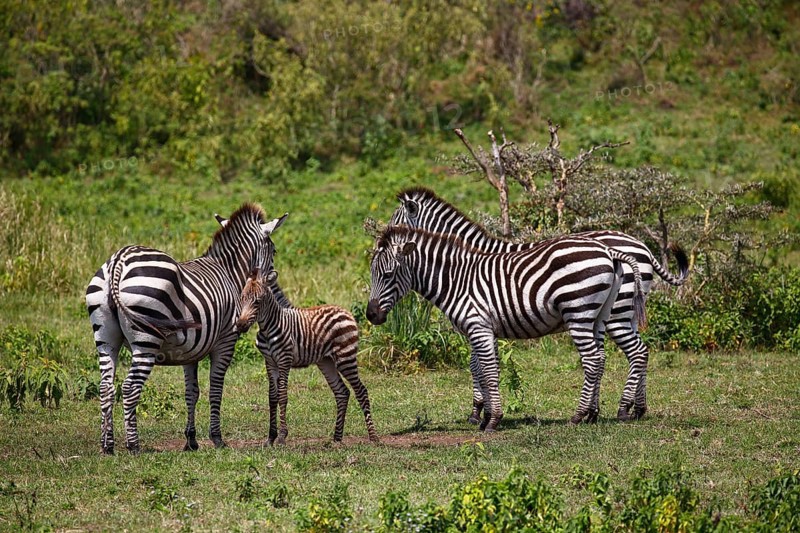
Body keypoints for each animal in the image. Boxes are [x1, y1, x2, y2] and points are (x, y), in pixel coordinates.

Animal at [85, 203, 288, 454]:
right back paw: (134, 446)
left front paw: (191, 441)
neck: (230, 272)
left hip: (105, 337)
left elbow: (192, 393)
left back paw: (107, 446)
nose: (273, 283)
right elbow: (215, 389)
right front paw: (217, 438)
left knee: (106, 387)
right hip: (146, 339)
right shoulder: (226, 341)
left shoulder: (190, 350)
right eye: (274, 251)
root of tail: (118, 261)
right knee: (130, 388)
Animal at [232, 268, 379, 445]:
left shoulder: (284, 360)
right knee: (342, 392)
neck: (267, 329)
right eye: (242, 299)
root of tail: (345, 311)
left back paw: (373, 437)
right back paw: (336, 438)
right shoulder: (270, 362)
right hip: (326, 362)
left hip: (345, 357)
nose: (240, 325)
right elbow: (272, 397)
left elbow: (282, 396)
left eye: (258, 301)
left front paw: (281, 436)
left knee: (361, 391)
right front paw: (270, 438)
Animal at [366, 225, 646, 431]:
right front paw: (484, 416)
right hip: (600, 315)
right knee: (613, 356)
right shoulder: (481, 330)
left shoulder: (478, 327)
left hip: (579, 312)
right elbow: (480, 371)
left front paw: (492, 420)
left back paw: (582, 415)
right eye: (372, 274)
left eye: (388, 275)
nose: (371, 315)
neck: (456, 280)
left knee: (594, 359)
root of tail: (608, 251)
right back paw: (595, 414)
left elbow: (489, 372)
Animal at [389, 186, 689, 422]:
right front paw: (483, 409)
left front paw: (478, 411)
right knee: (638, 351)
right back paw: (636, 408)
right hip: (624, 312)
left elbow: (476, 364)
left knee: (634, 352)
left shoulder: (480, 315)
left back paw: (623, 409)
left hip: (615, 313)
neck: (468, 259)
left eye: (395, 224)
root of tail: (642, 246)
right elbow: (481, 363)